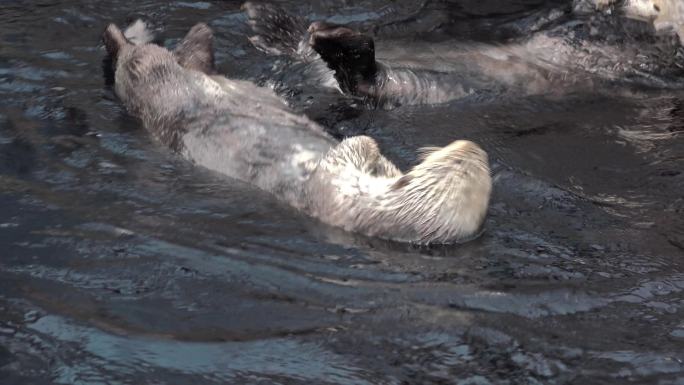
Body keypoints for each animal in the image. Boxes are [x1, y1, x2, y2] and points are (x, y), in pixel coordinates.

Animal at [103, 21, 492, 242]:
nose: (468, 144)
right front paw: (378, 154)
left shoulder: (336, 194)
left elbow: (342, 158)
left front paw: (365, 145)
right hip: (195, 69)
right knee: (195, 57)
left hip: (155, 83)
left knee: (139, 63)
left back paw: (119, 38)